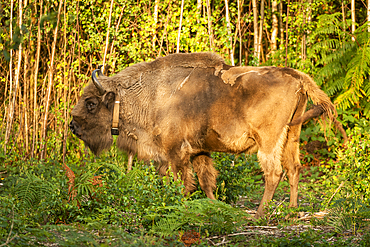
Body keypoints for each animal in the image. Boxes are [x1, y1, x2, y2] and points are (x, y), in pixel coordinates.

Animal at [70, 52, 346, 218]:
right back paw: (291, 211)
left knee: (273, 172)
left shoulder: (175, 153)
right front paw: (214, 206)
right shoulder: (199, 151)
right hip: (292, 134)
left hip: (268, 140)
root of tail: (296, 76)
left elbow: (180, 182)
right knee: (293, 168)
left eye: (91, 103)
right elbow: (206, 181)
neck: (151, 95)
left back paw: (259, 214)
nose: (73, 126)